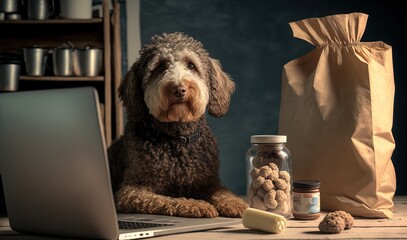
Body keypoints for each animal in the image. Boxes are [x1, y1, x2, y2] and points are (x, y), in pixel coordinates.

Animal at [109, 31, 249, 218]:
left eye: (191, 65)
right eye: (160, 67)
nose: (179, 89)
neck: (178, 138)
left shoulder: (210, 182)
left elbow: (222, 192)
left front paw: (234, 202)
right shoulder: (131, 190)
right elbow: (166, 200)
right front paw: (196, 205)